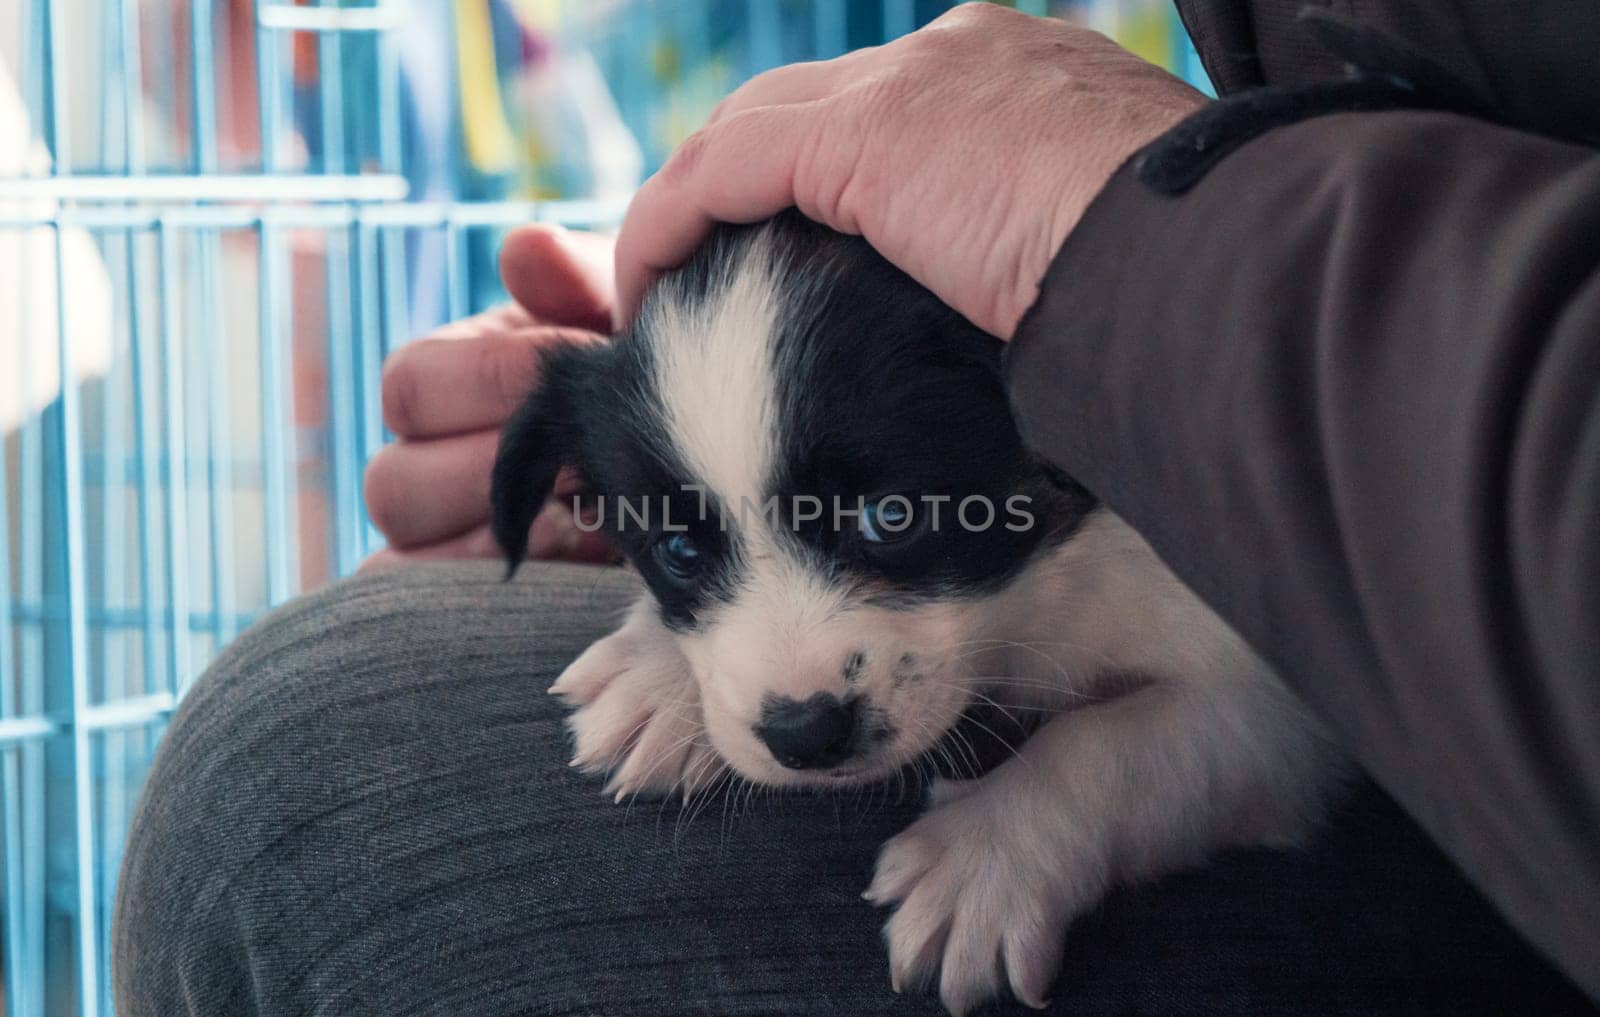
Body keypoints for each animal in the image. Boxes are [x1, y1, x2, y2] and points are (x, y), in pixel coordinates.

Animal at [492, 211, 1344, 1010]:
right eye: (677, 551)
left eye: (891, 517)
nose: (806, 735)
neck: (1036, 596)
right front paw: (657, 678)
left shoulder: (1276, 706)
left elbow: (1112, 740)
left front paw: (987, 859)